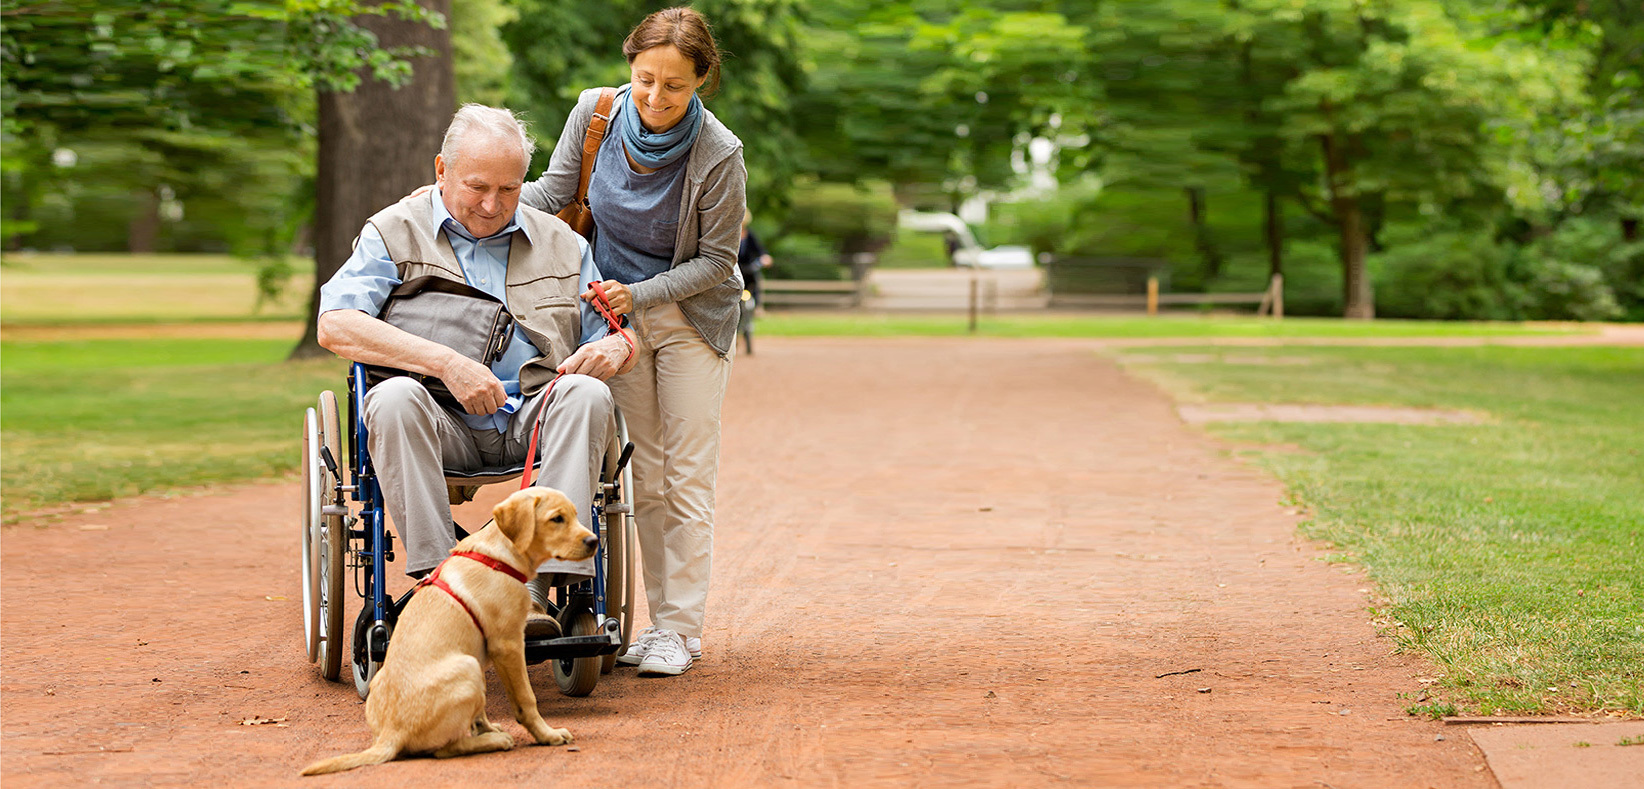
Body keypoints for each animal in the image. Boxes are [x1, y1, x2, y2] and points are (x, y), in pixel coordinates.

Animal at [304, 486, 598, 775]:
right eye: (556, 519)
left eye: (575, 515)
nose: (594, 541)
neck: (499, 555)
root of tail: (391, 735)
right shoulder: (509, 645)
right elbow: (526, 699)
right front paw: (548, 735)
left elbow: (481, 712)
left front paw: (491, 728)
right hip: (467, 666)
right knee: (445, 749)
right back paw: (496, 741)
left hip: (464, 667)